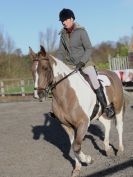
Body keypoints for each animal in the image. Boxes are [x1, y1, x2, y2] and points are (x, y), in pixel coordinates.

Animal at [28, 46, 124, 177]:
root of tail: (112, 73)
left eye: (45, 68)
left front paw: (88, 160)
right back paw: (107, 148)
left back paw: (120, 150)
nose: (38, 95)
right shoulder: (67, 126)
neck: (66, 94)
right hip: (100, 113)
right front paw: (77, 169)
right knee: (107, 124)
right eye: (32, 70)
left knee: (119, 126)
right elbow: (73, 146)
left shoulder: (83, 123)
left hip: (118, 108)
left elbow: (77, 147)